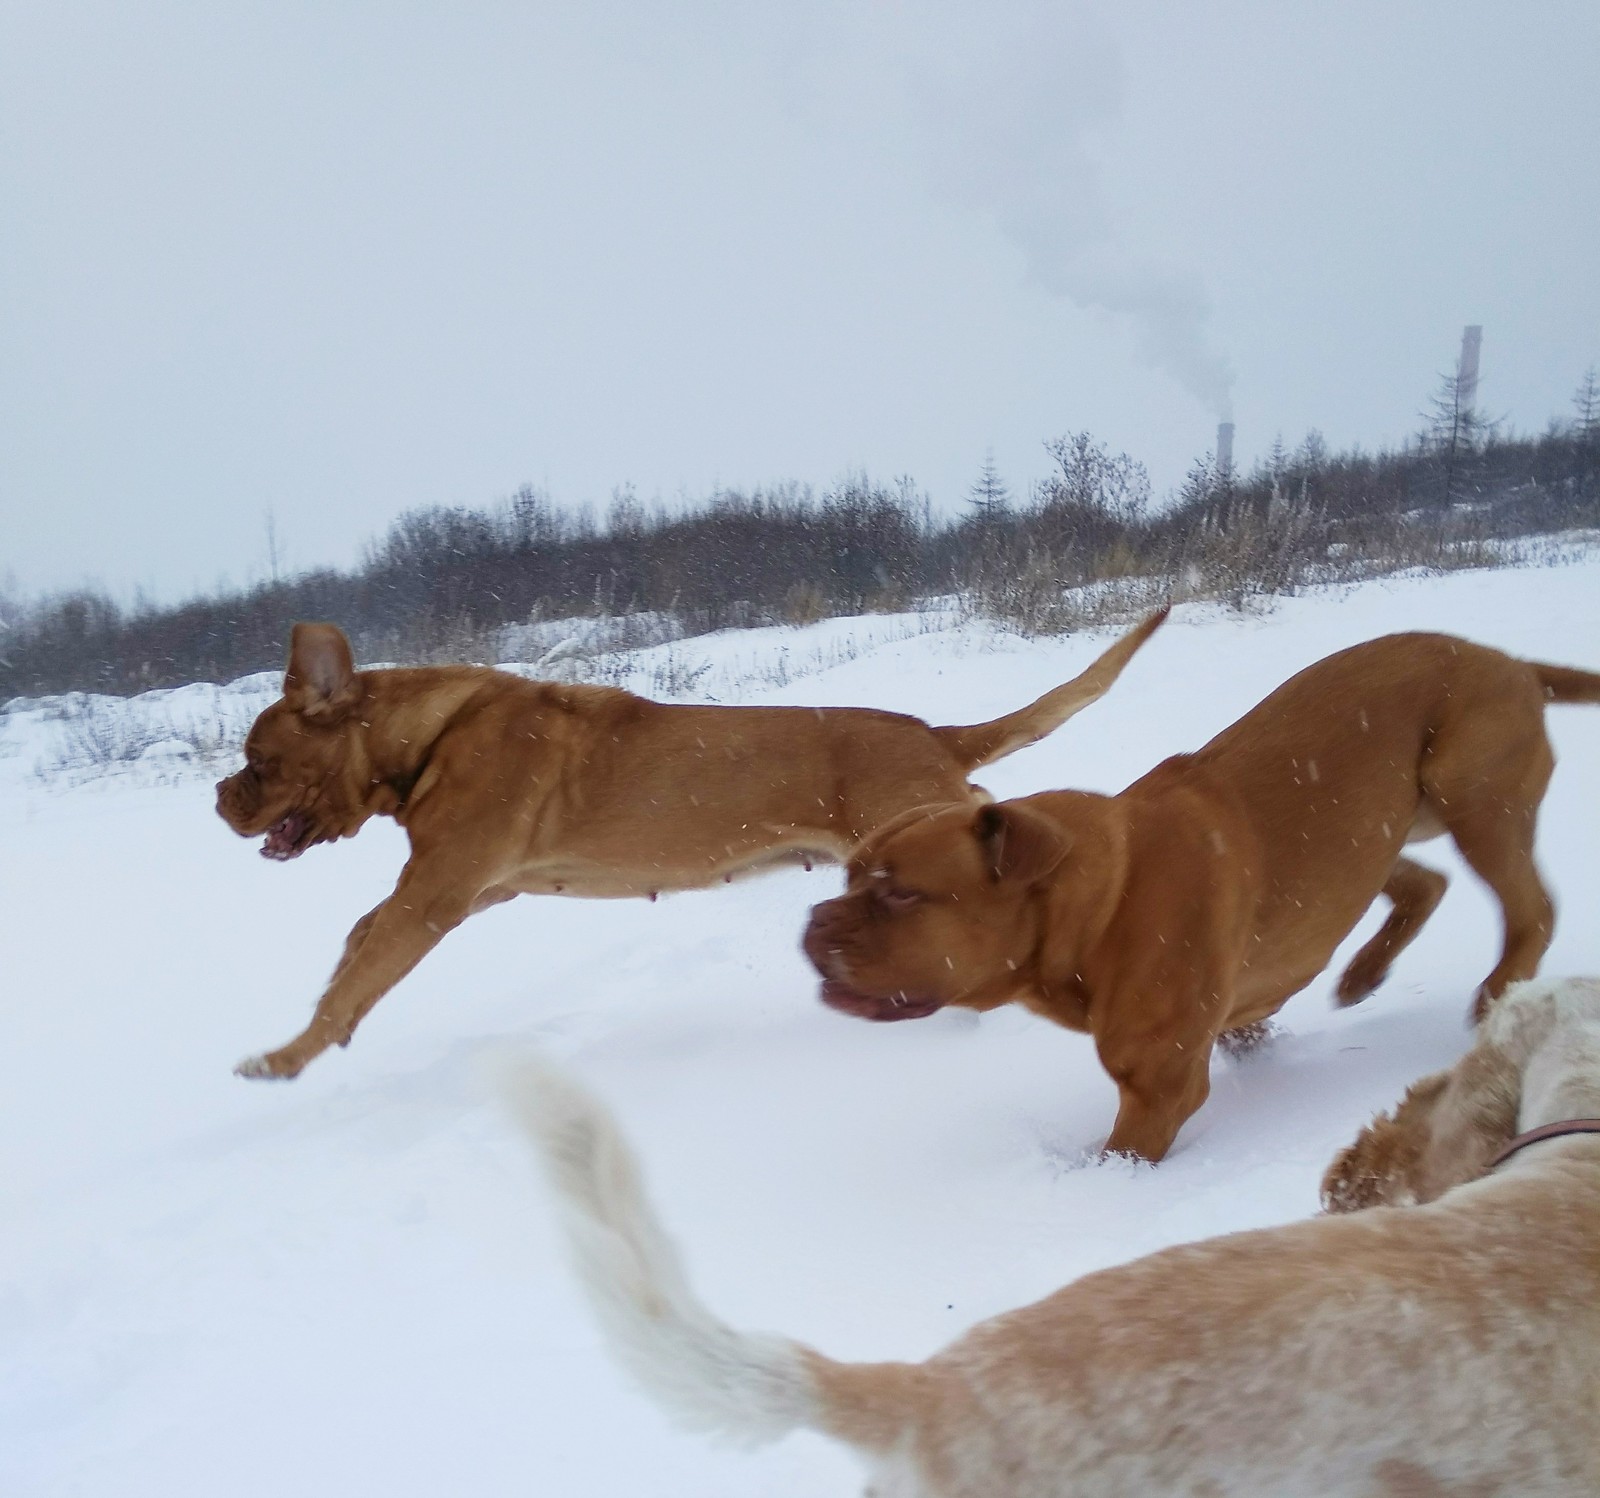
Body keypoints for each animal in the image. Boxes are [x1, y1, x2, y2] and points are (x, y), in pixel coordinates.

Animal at [212, 608, 1164, 1075]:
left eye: (258, 761)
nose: (219, 799)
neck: (427, 736)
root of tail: (939, 736)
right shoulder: (474, 885)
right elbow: (358, 941)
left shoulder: (439, 893)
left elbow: (357, 979)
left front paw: (287, 1056)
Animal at [806, 630, 1600, 1158]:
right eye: (849, 876)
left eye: (902, 896)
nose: (812, 924)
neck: (1099, 904)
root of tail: (1508, 661)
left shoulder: (1154, 1092)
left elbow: (1120, 1154)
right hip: (1387, 824)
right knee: (1421, 880)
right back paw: (1364, 972)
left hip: (1470, 795)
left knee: (1530, 909)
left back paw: (1495, 993)